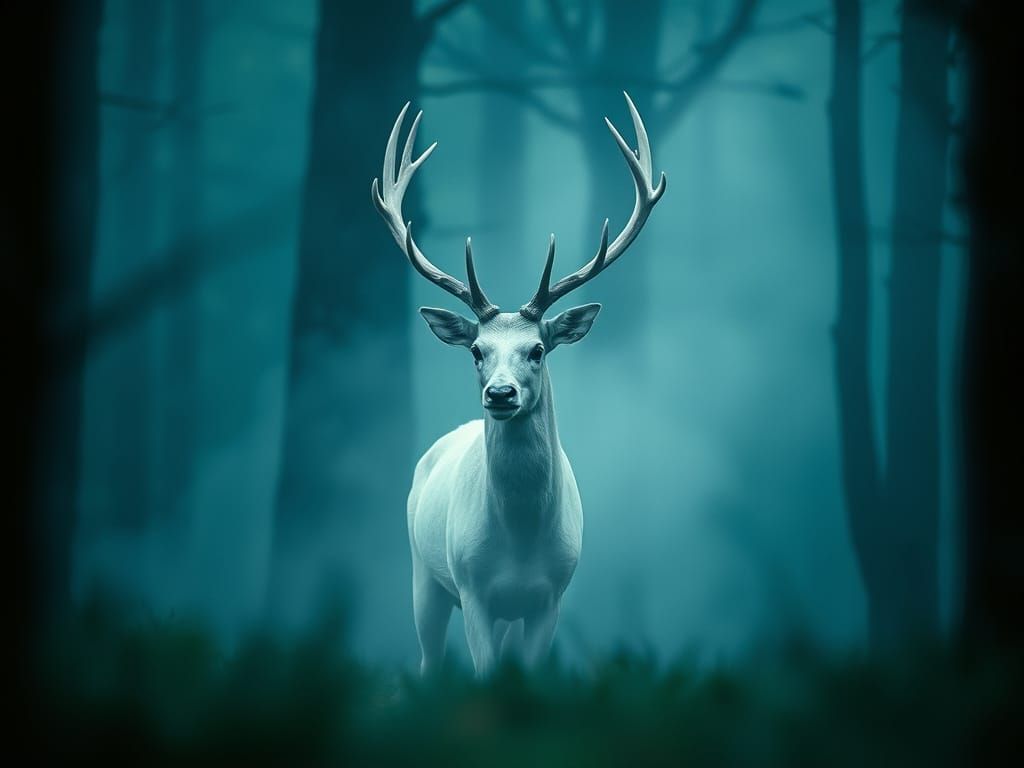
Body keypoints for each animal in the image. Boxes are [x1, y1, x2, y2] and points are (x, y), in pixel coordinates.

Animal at [371, 93, 666, 676]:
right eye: (476, 352)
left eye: (537, 349)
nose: (501, 394)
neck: (522, 545)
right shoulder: (474, 592)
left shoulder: (552, 596)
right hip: (423, 575)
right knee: (428, 661)